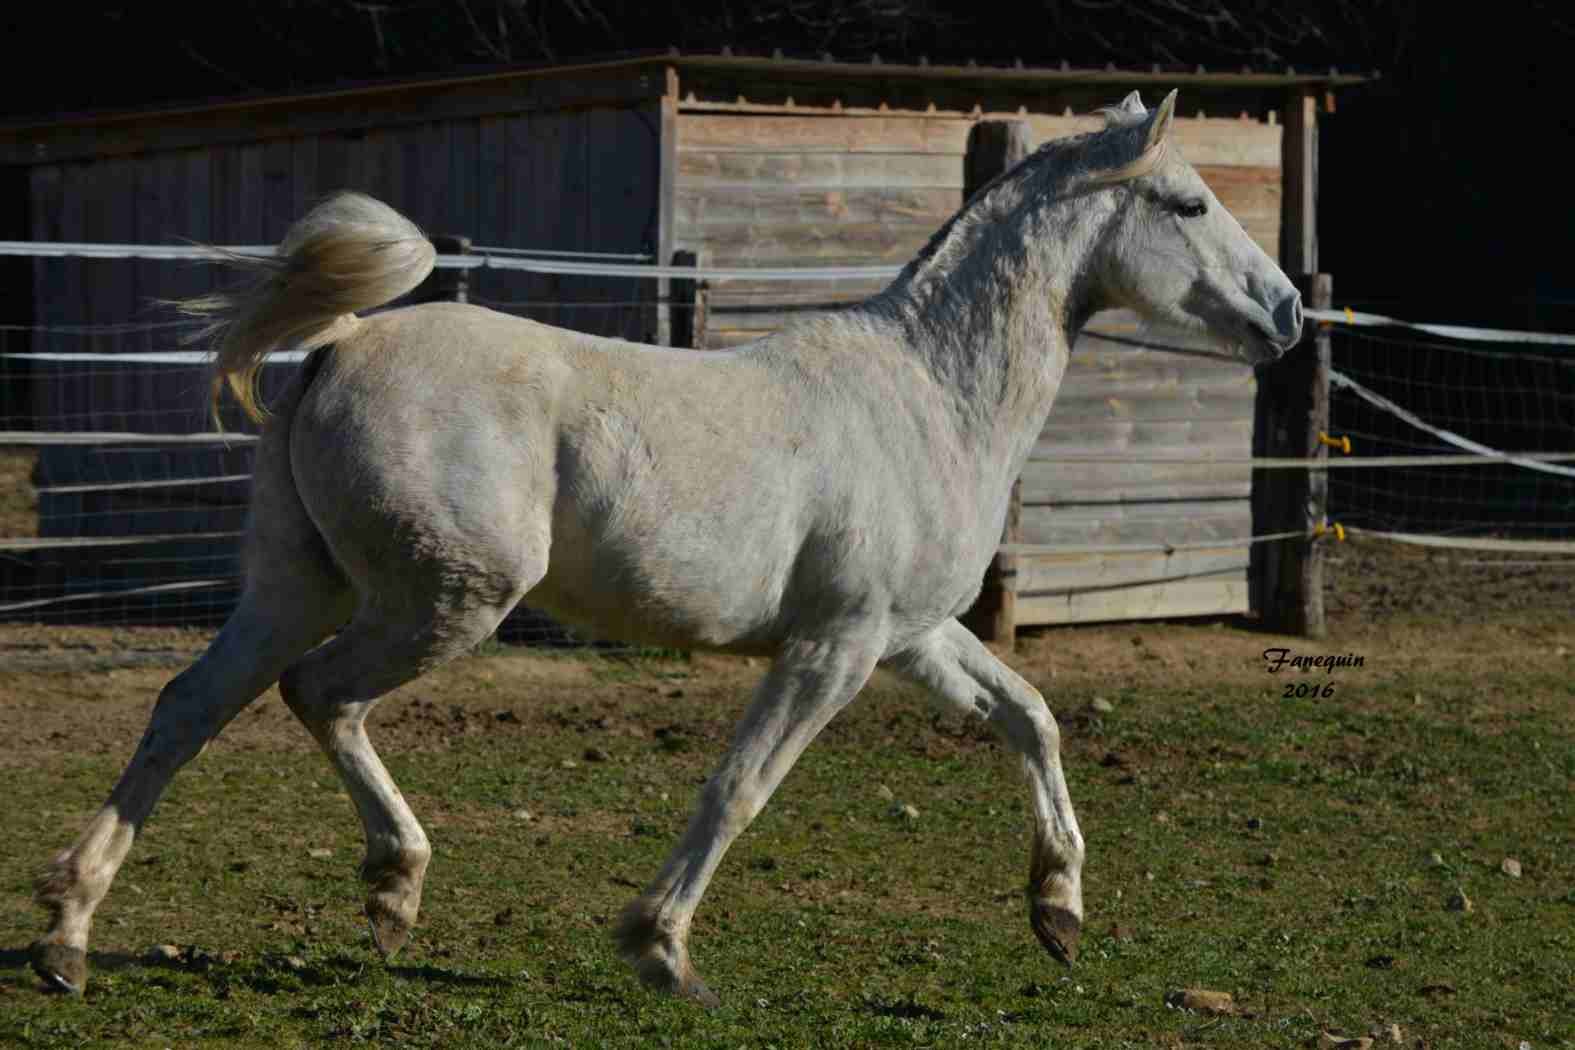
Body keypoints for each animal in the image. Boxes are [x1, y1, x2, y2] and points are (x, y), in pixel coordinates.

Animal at [30, 92, 1297, 1001]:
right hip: (446, 599)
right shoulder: (833, 647)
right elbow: (740, 788)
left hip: (300, 585)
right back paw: (391, 889)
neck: (935, 397)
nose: (1285, 311)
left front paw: (1059, 913)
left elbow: (1030, 719)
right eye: (1188, 203)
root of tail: (338, 344)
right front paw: (660, 950)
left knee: (189, 707)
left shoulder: (912, 635)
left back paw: (70, 936)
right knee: (317, 694)